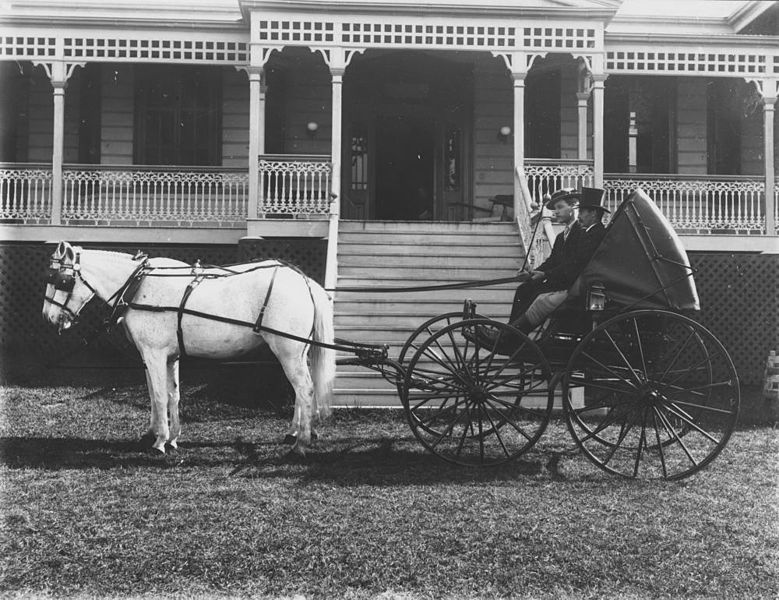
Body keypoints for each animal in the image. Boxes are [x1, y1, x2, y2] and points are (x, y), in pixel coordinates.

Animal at [42, 239, 336, 454]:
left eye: (62, 281)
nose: (49, 317)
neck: (139, 285)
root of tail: (306, 282)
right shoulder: (169, 356)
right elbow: (171, 394)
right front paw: (170, 436)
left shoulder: (154, 353)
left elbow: (159, 395)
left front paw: (160, 441)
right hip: (298, 351)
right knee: (301, 390)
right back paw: (296, 431)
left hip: (287, 351)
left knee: (305, 389)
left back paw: (301, 442)